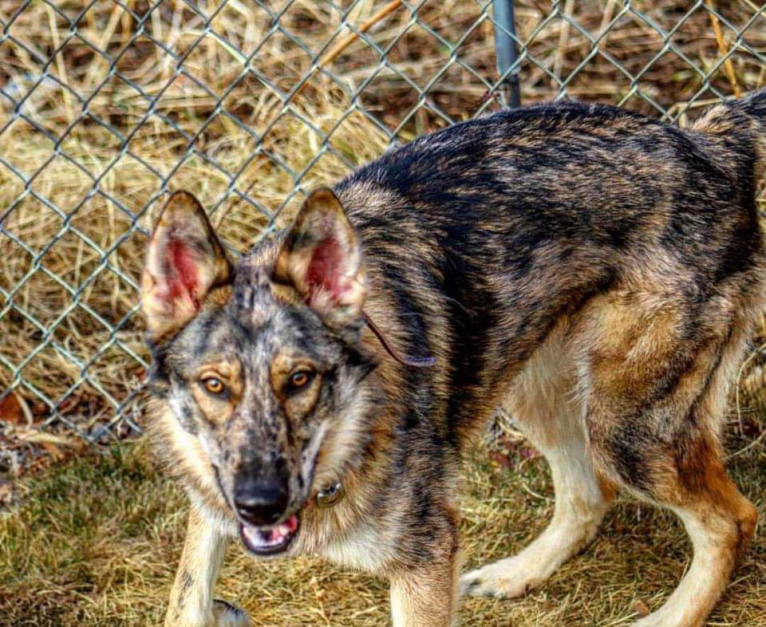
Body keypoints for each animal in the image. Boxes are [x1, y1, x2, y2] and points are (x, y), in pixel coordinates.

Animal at [140, 92, 766, 627]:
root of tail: (707, 143)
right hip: (534, 394)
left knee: (733, 520)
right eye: (214, 386)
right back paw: (515, 574)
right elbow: (185, 595)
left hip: (622, 430)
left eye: (300, 380)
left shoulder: (427, 555)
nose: (259, 505)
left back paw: (670, 615)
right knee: (590, 497)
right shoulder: (210, 504)